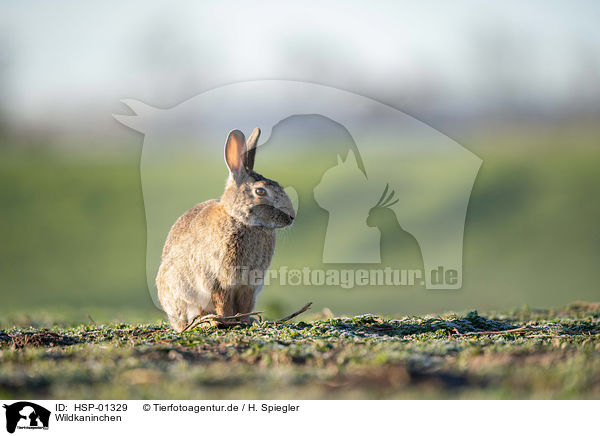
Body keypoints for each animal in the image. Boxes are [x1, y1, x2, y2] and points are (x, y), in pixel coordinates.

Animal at [155, 127, 296, 332]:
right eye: (260, 191)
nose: (292, 216)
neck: (243, 221)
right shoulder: (218, 280)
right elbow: (223, 303)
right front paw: (229, 320)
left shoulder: (249, 284)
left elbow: (245, 304)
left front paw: (245, 320)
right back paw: (209, 321)